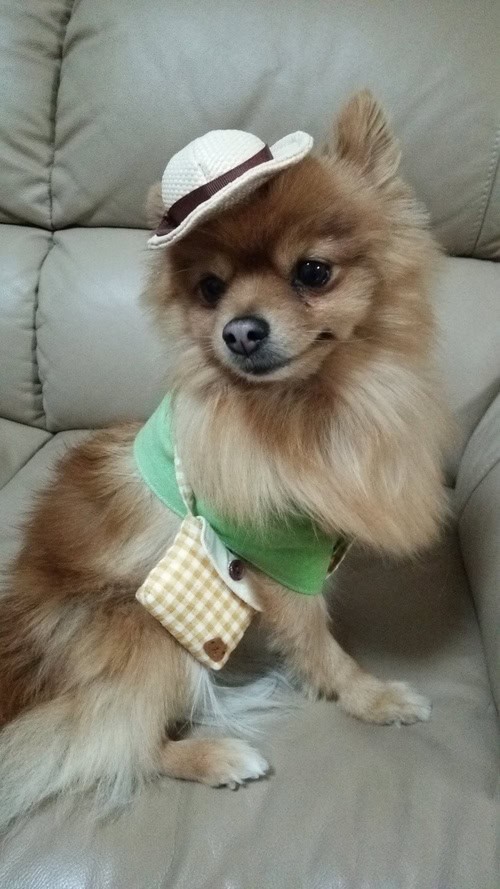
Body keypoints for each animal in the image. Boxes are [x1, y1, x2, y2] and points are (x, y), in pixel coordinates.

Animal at [0, 91, 449, 829]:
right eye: (210, 290)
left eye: (313, 272)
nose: (239, 330)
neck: (308, 410)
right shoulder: (279, 562)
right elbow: (321, 644)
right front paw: (371, 697)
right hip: (139, 626)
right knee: (108, 741)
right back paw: (216, 756)